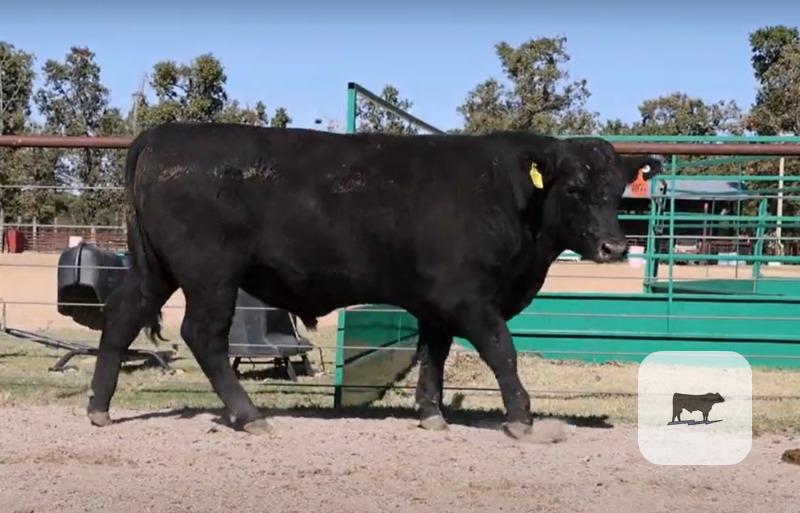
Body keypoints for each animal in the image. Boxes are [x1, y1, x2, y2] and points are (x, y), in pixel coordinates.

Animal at [85, 122, 662, 439]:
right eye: (574, 187)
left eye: (616, 190)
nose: (615, 247)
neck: (507, 194)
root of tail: (163, 134)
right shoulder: (470, 297)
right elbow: (502, 350)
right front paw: (521, 418)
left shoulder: (437, 303)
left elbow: (433, 355)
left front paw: (430, 414)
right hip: (211, 275)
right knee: (203, 335)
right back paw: (249, 415)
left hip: (155, 269)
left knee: (122, 316)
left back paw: (99, 408)